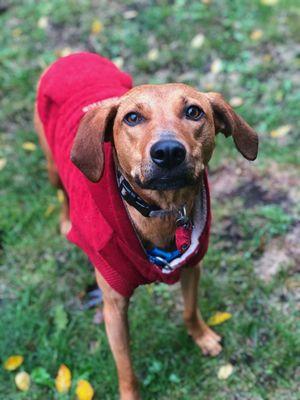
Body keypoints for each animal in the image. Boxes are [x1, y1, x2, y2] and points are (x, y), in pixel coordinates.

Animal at [33, 53, 258, 400]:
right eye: (132, 118)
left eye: (194, 112)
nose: (168, 151)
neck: (161, 211)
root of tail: (72, 56)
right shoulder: (114, 306)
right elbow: (126, 367)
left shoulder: (192, 266)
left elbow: (189, 309)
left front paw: (202, 336)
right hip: (53, 166)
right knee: (60, 193)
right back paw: (66, 221)